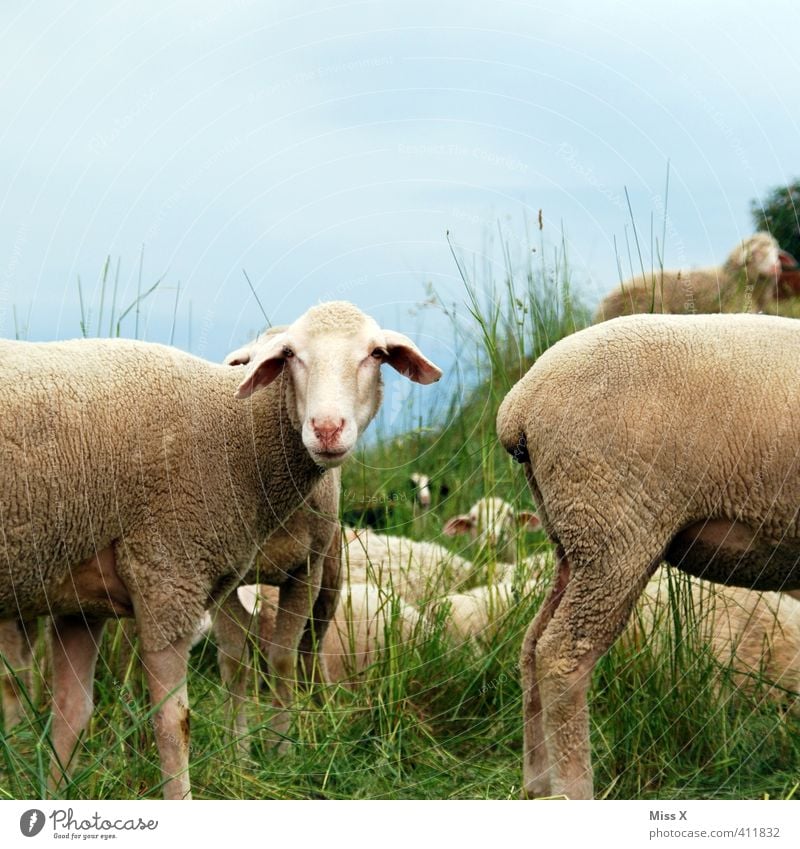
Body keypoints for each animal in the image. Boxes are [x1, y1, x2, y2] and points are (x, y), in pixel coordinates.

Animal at [0, 298, 444, 796]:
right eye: (290, 355)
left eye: (376, 354)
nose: (327, 429)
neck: (235, 434)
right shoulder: (170, 579)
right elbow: (175, 722)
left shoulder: (82, 599)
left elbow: (71, 715)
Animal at [496, 310, 800, 796]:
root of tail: (520, 404)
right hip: (614, 532)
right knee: (562, 656)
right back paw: (573, 790)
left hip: (573, 539)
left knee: (531, 645)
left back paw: (537, 782)